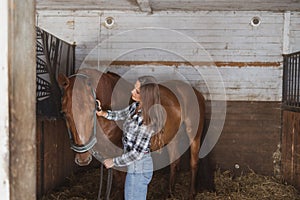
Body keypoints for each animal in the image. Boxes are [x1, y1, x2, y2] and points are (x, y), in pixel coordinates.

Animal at [59, 68, 206, 199]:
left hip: (194, 135)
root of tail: (195, 92)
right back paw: (169, 193)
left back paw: (191, 194)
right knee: (175, 162)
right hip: (172, 137)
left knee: (194, 162)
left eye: (91, 110)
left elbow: (122, 183)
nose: (82, 159)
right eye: (64, 113)